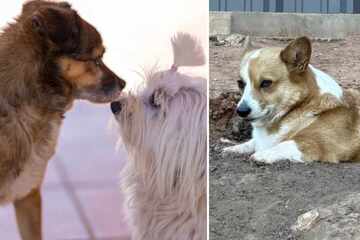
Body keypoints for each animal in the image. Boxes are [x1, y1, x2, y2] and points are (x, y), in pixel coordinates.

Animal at [224, 36, 360, 163]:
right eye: (240, 83)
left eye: (266, 83)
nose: (241, 111)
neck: (300, 105)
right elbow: (252, 142)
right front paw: (235, 148)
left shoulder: (319, 144)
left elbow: (288, 143)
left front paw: (262, 154)